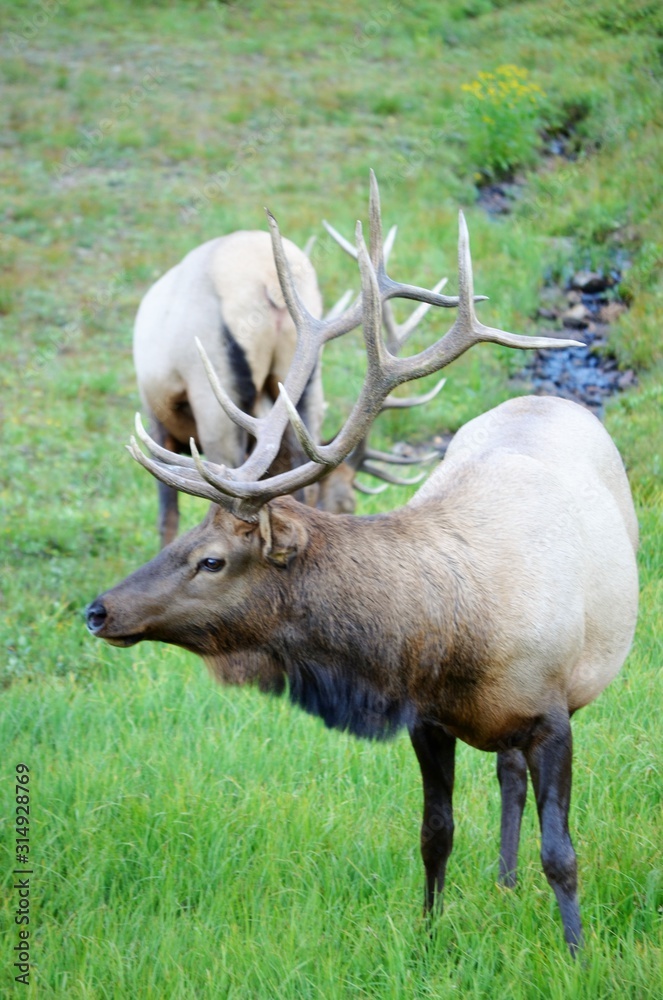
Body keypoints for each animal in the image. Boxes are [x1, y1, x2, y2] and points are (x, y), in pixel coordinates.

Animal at [134, 228, 442, 546]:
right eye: (346, 508)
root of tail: (268, 281)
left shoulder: (156, 415)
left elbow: (167, 515)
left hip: (213, 398)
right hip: (307, 384)